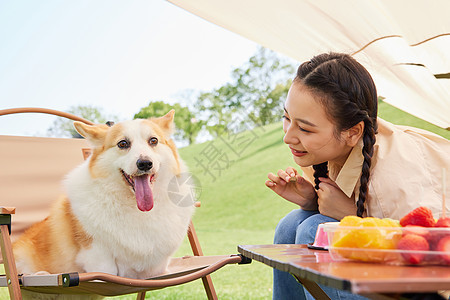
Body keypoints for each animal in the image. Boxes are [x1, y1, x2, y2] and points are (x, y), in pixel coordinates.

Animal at [11, 110, 195, 278]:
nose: (144, 163)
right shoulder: (97, 254)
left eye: (153, 141)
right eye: (123, 144)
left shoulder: (157, 266)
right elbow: (107, 270)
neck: (135, 206)